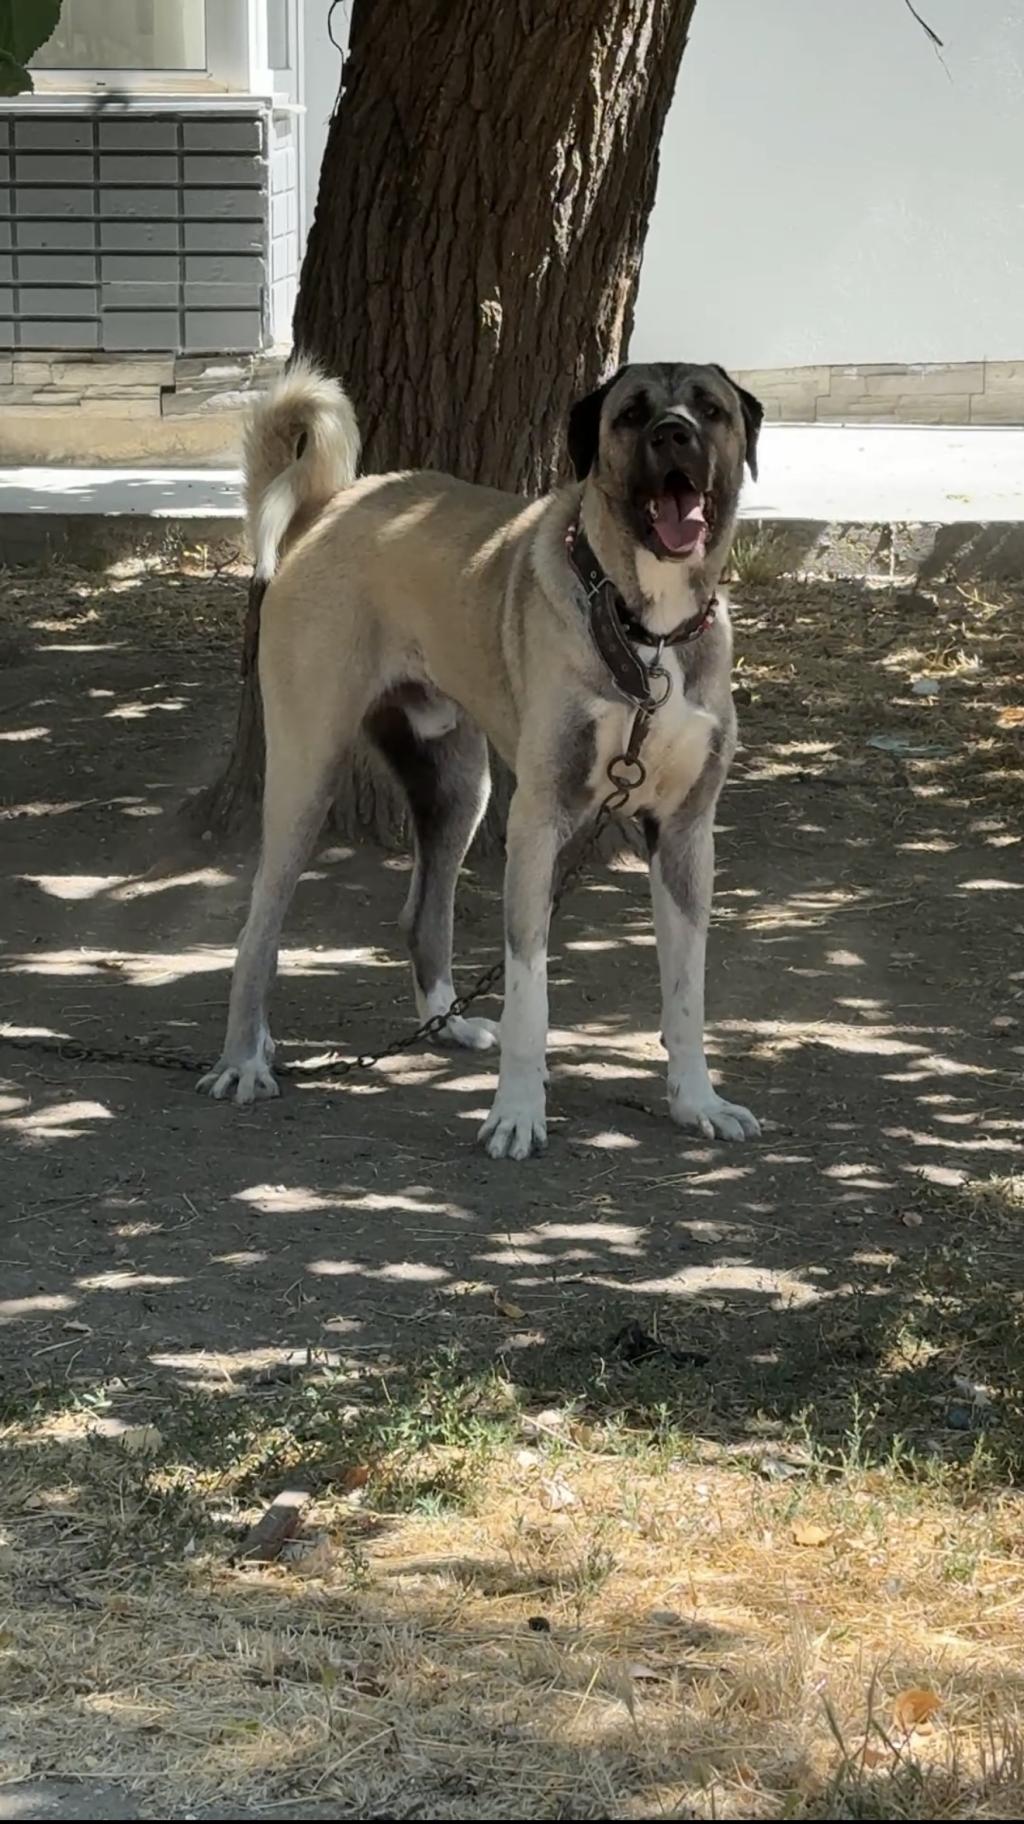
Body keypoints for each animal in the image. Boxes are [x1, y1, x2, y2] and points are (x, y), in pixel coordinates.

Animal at [199, 357, 763, 1161]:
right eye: (632, 413)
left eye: (710, 409)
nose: (674, 434)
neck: (646, 634)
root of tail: (327, 506)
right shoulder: (538, 824)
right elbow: (531, 993)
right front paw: (518, 1113)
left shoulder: (686, 835)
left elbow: (687, 996)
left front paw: (697, 1102)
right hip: (307, 772)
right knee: (257, 930)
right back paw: (246, 1059)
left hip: (457, 787)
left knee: (422, 913)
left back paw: (447, 1022)